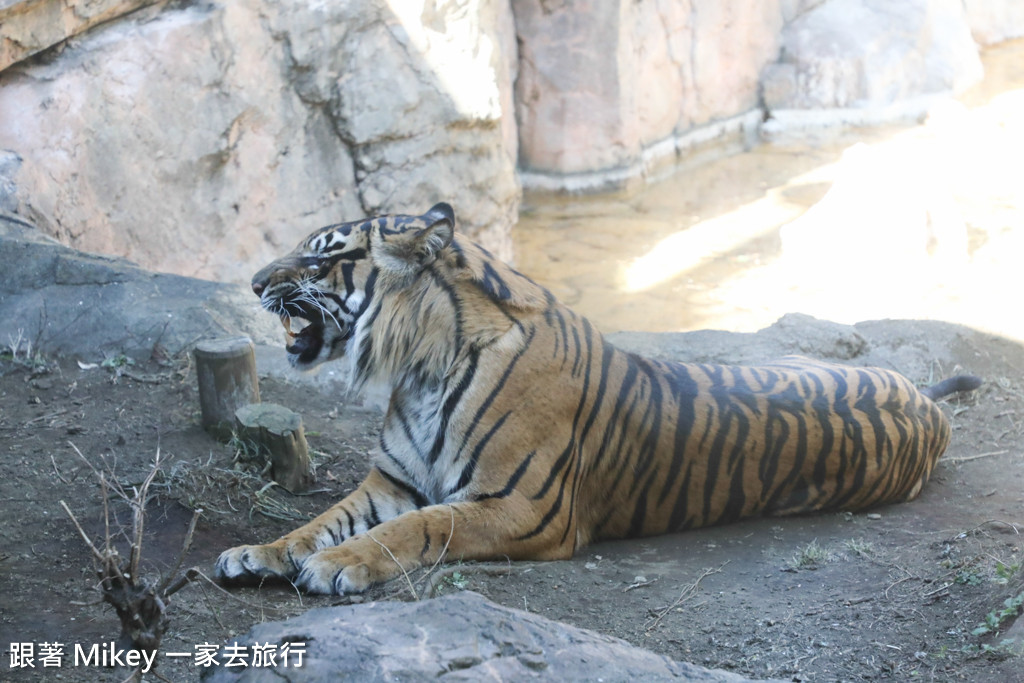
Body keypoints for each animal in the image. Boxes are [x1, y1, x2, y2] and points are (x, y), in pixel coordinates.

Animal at [211, 201, 978, 593]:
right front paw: (259, 552)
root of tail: (923, 402)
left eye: (320, 256)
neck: (423, 363)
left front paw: (337, 564)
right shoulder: (392, 480)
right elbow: (320, 520)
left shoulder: (522, 507)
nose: (251, 282)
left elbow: (419, 527)